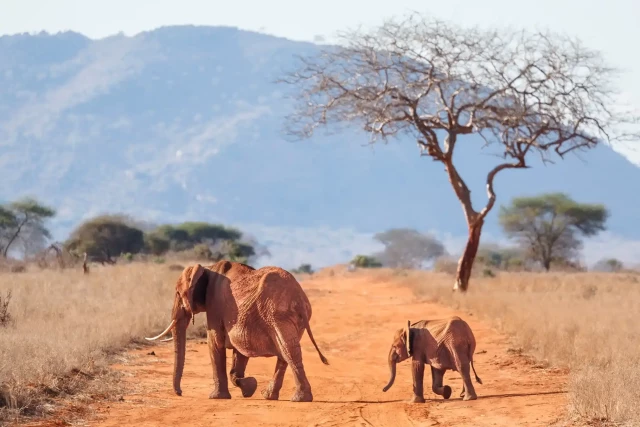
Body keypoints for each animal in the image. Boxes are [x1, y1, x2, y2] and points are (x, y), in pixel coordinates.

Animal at [146, 260, 330, 402]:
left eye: (178, 293)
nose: (180, 393)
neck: (207, 268)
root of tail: (298, 297)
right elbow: (239, 351)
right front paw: (249, 388)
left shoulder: (215, 306)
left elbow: (215, 343)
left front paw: (217, 397)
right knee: (285, 352)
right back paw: (269, 396)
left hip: (277, 314)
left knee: (288, 350)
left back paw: (299, 399)